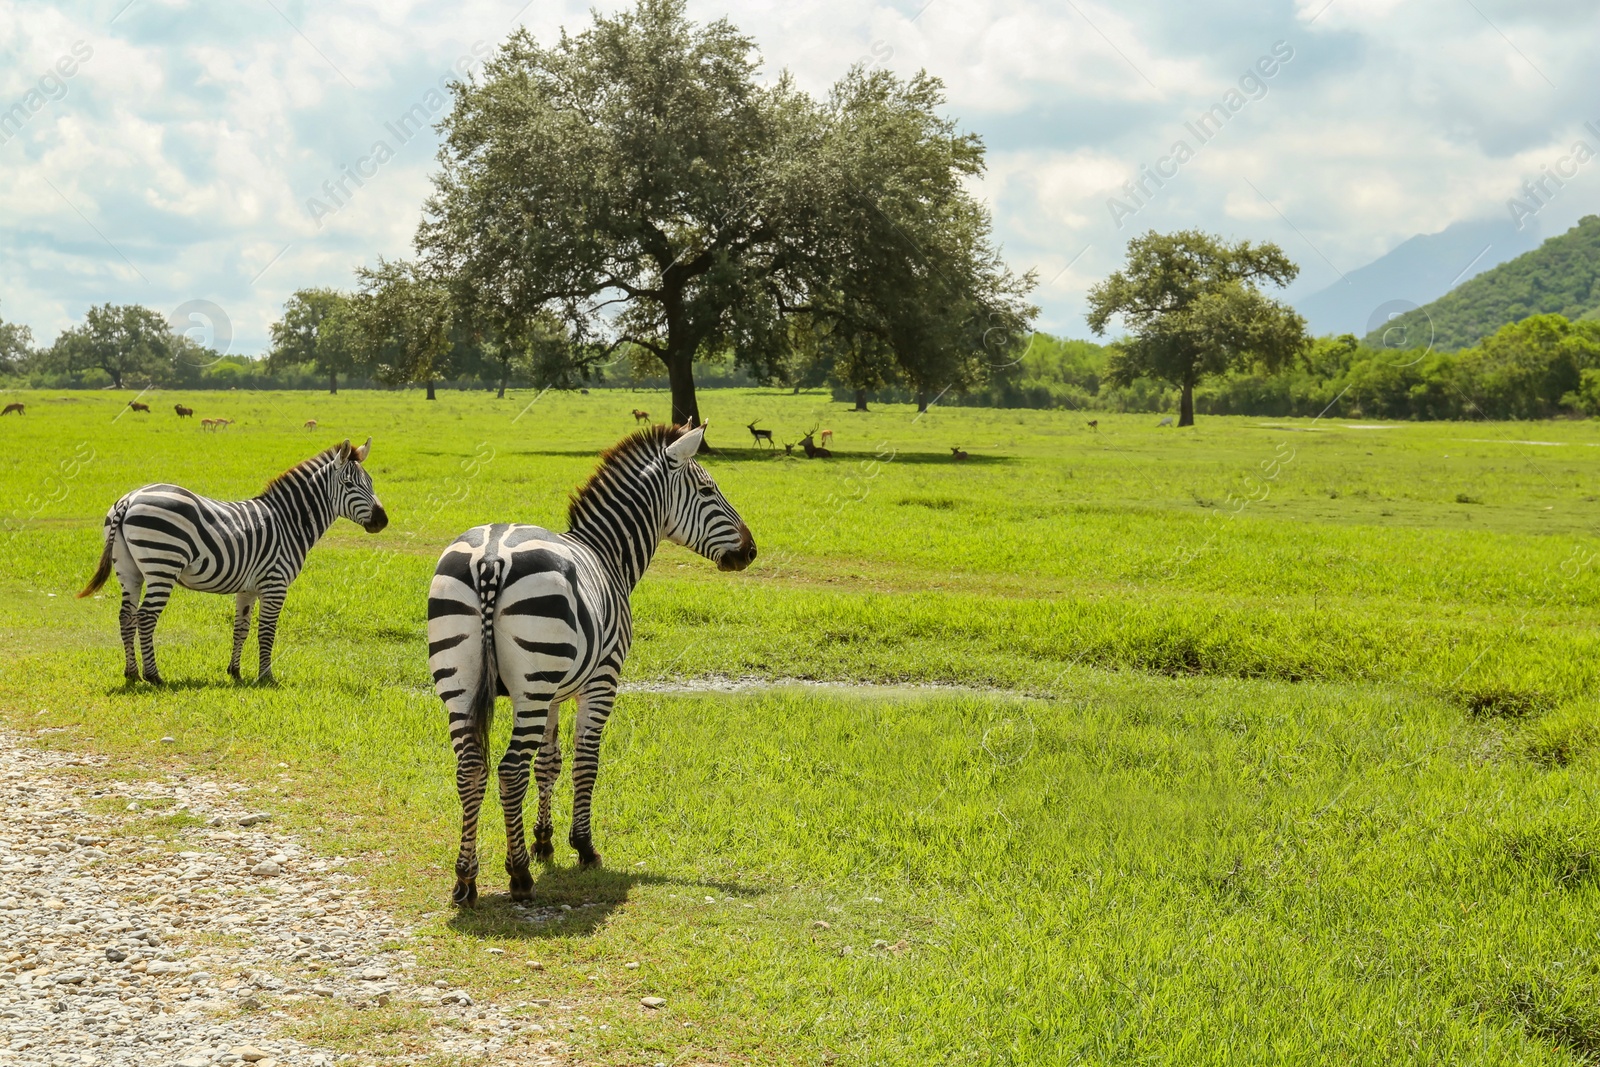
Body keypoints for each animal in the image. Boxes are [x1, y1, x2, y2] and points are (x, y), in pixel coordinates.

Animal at [77, 441, 387, 684]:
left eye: (371, 483)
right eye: (349, 485)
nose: (382, 521)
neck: (289, 522)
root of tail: (129, 499)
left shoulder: (247, 588)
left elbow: (241, 629)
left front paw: (235, 672)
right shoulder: (275, 584)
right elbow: (266, 632)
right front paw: (267, 677)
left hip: (129, 571)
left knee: (126, 616)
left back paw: (131, 673)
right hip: (162, 567)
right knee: (145, 617)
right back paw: (154, 676)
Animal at [432, 422, 755, 908]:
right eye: (707, 489)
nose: (750, 551)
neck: (607, 553)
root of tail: (490, 557)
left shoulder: (554, 692)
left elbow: (549, 762)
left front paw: (543, 840)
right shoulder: (601, 679)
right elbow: (586, 760)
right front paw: (582, 846)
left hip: (464, 683)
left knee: (471, 768)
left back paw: (465, 880)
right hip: (530, 686)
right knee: (509, 770)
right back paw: (519, 876)